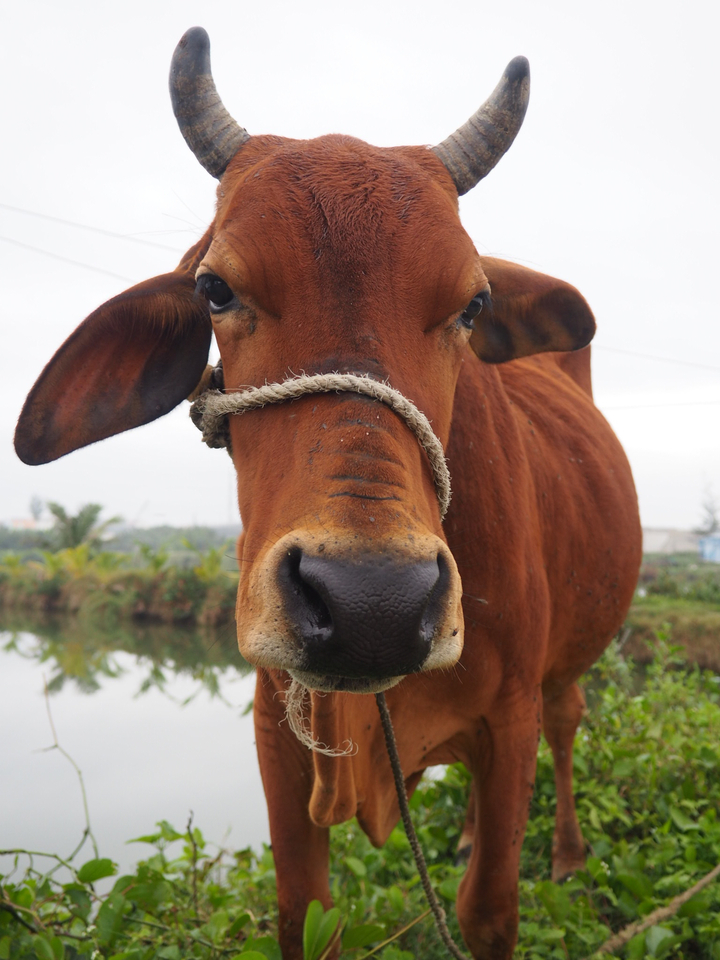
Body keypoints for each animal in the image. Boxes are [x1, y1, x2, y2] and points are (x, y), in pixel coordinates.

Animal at [14, 27, 642, 960]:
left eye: (473, 304)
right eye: (215, 287)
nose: (372, 603)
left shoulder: (512, 716)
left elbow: (489, 907)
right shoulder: (275, 727)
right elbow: (304, 913)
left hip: (567, 665)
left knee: (570, 721)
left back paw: (563, 854)